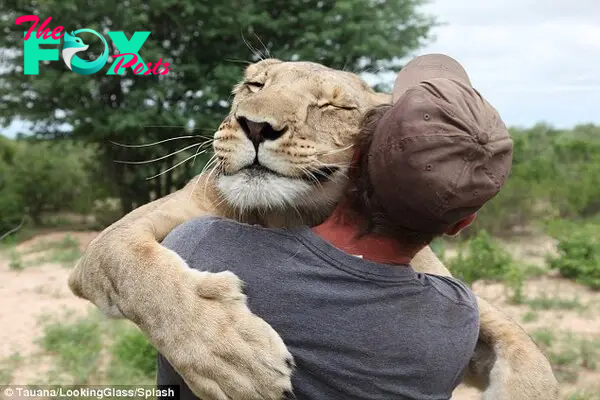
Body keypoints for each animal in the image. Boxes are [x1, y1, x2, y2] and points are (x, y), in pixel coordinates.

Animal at [67, 57, 556, 398]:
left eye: (333, 105)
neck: (290, 214)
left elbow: (525, 344)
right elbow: (131, 263)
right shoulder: (134, 233)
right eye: (255, 85)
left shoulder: (452, 289)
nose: (255, 126)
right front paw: (231, 354)